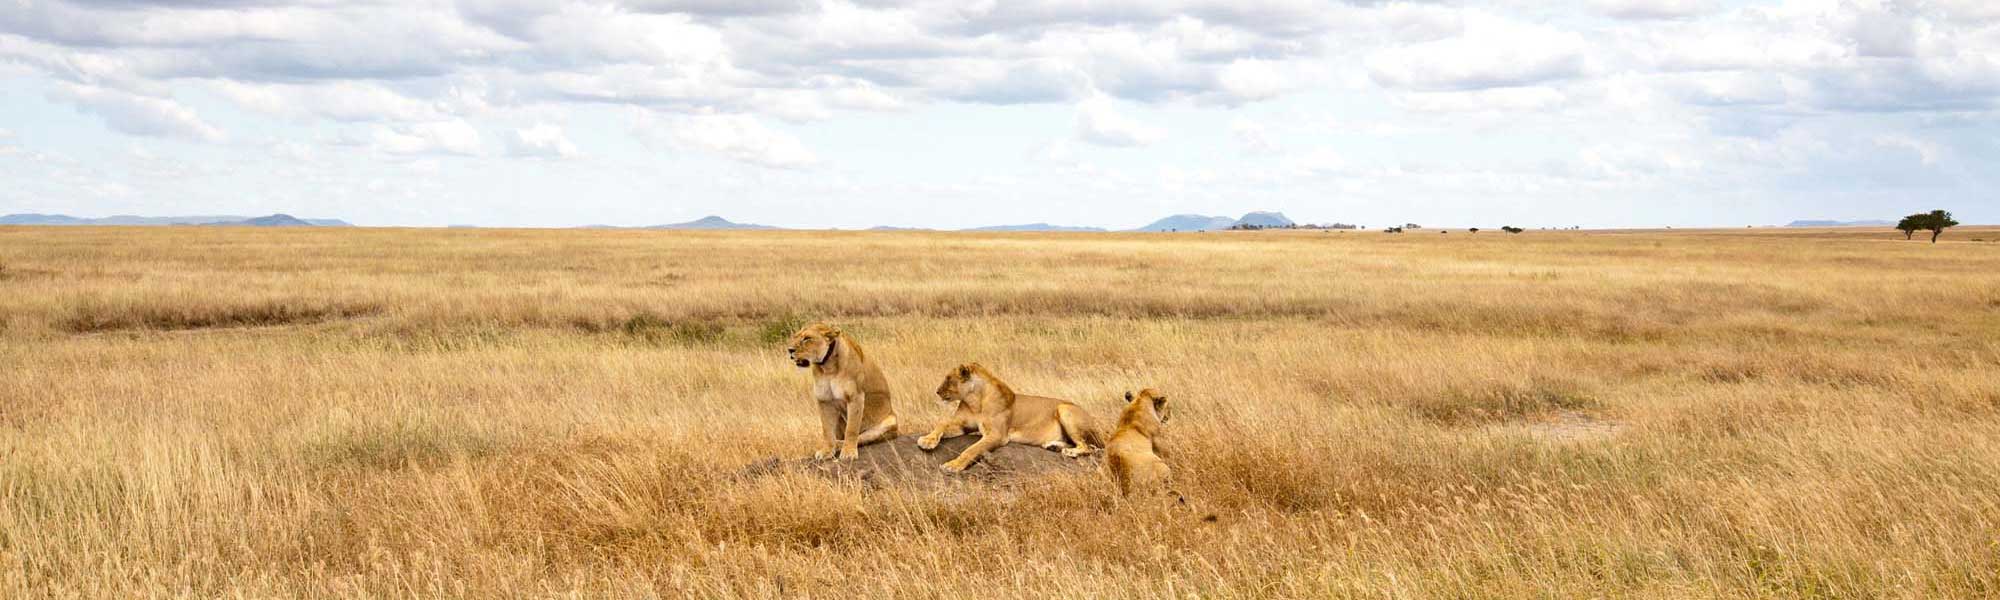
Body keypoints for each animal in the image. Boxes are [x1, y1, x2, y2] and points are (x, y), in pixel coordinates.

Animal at [785, 323, 897, 461]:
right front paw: (827, 451)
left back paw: (840, 445)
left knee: (862, 437)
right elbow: (827, 430)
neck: (827, 367)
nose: (790, 350)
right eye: (795, 336)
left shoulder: (856, 397)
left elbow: (852, 429)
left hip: (888, 423)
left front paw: (848, 452)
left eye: (807, 338)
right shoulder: (824, 400)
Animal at [918, 363, 1103, 473]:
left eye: (949, 379)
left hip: (1065, 409)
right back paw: (1054, 447)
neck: (975, 401)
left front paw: (953, 465)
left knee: (1090, 447)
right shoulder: (963, 425)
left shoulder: (997, 435)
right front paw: (927, 441)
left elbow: (972, 450)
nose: (937, 391)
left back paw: (1070, 452)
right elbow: (942, 423)